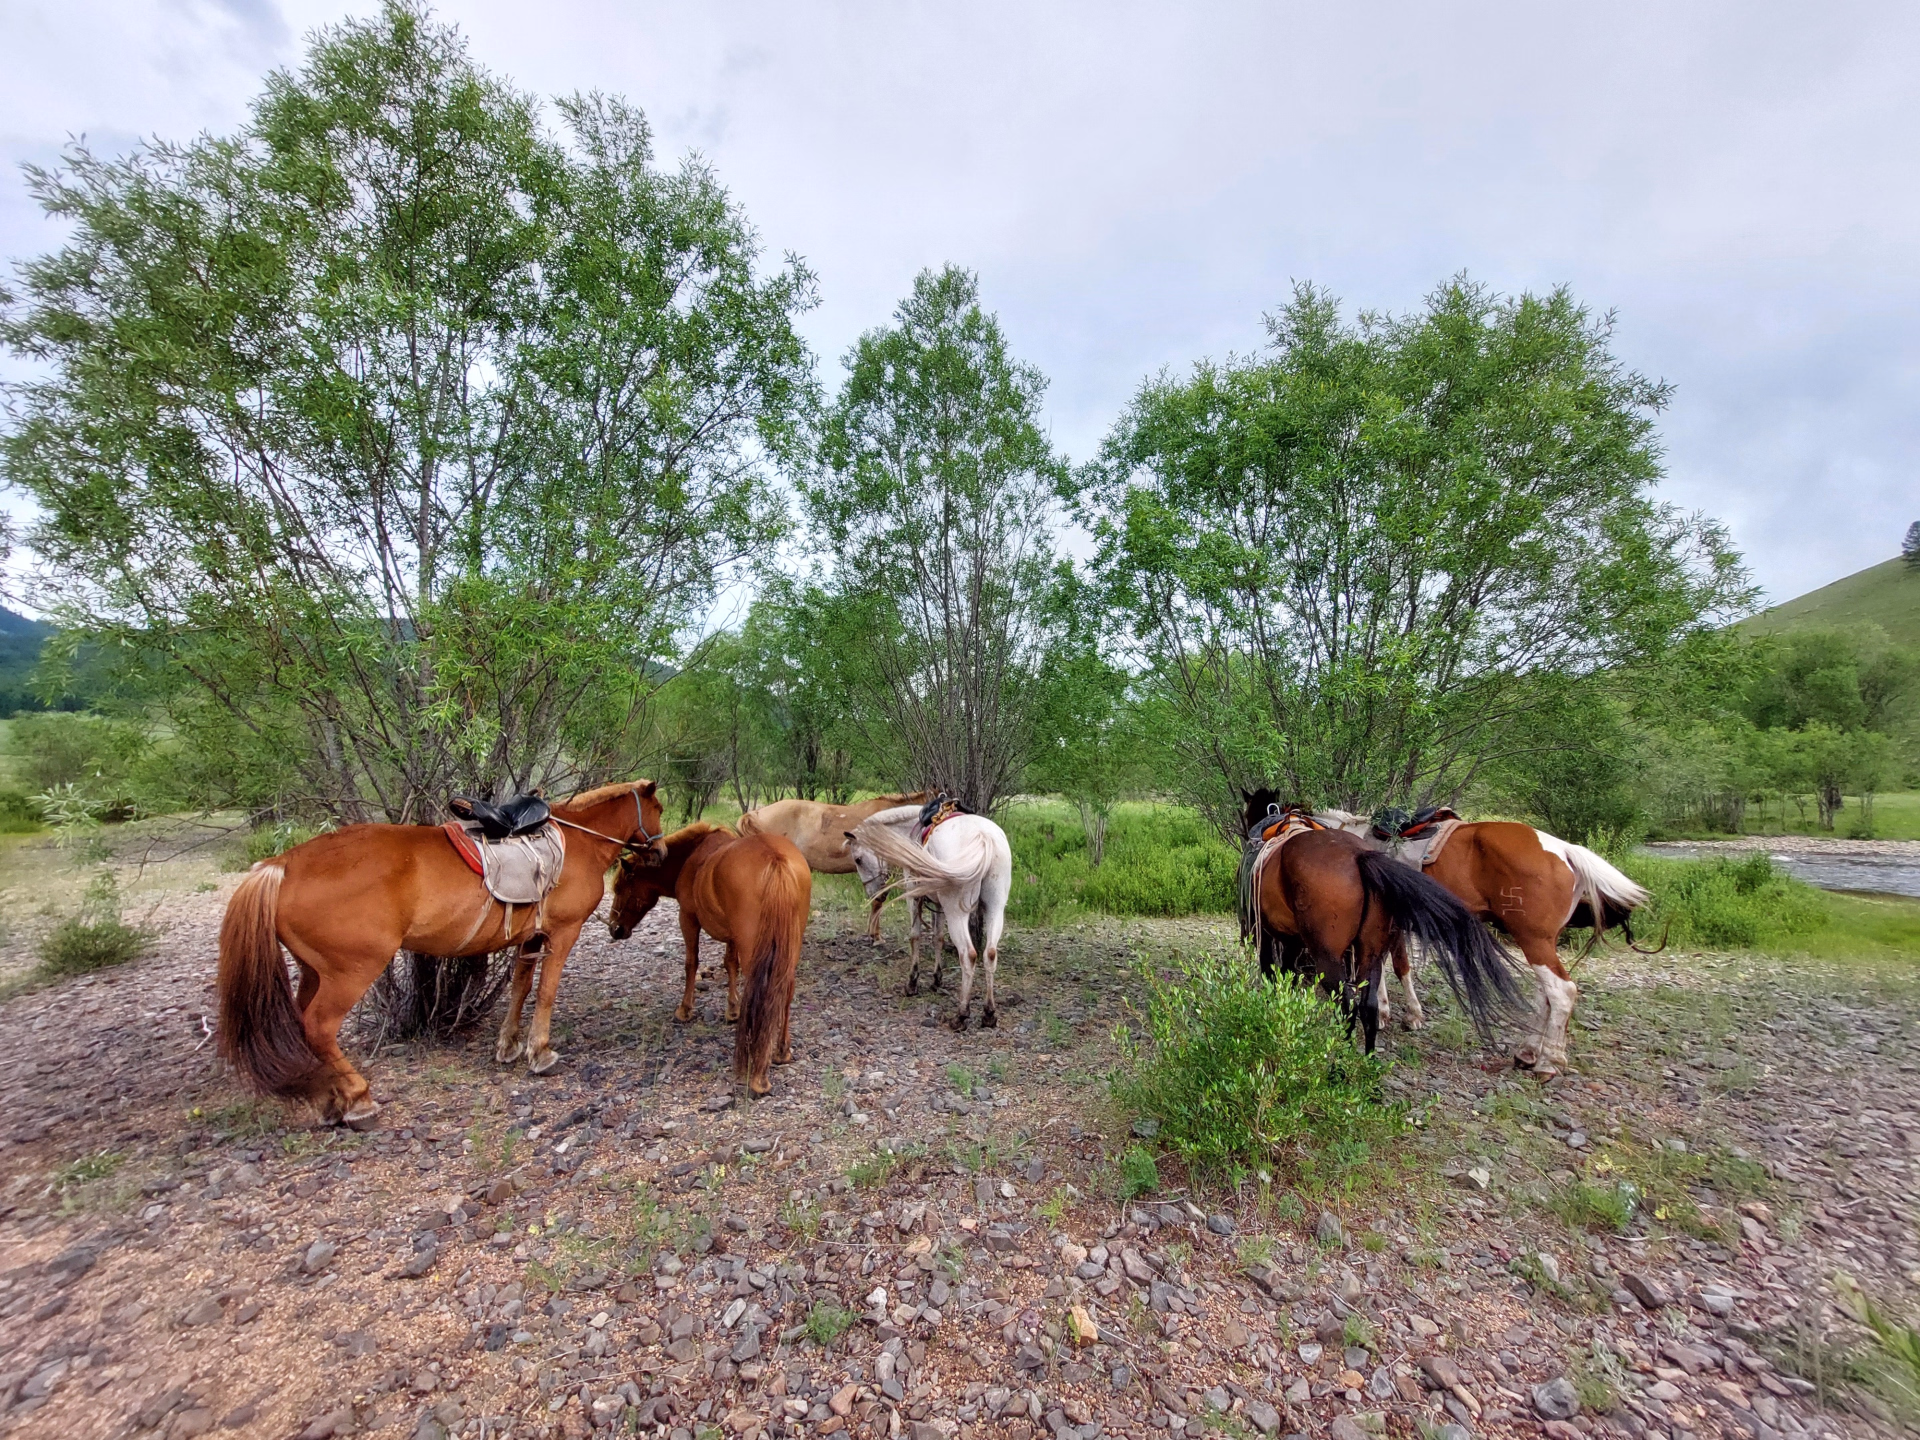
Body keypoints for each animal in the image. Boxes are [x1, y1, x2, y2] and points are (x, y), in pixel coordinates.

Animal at [217, 780, 666, 1127]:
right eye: (658, 810)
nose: (660, 851)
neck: (581, 840)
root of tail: (282, 865)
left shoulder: (530, 937)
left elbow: (519, 990)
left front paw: (508, 1046)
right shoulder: (562, 933)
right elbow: (546, 994)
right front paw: (539, 1052)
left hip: (314, 971)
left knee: (301, 1025)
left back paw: (331, 1099)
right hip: (351, 972)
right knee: (319, 1027)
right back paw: (358, 1098)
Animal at [607, 823, 811, 1097]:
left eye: (620, 888)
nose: (615, 929)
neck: (692, 859)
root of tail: (775, 859)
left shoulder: (688, 918)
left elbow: (691, 962)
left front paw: (685, 1009)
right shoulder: (732, 935)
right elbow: (730, 964)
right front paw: (732, 1009)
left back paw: (756, 1071)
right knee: (784, 991)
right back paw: (781, 1051)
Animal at [847, 805, 1012, 1031]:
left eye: (858, 859)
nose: (875, 895)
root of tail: (984, 838)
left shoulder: (914, 896)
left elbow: (915, 936)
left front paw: (912, 983)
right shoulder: (938, 904)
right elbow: (938, 938)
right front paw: (936, 980)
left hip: (956, 912)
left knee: (968, 955)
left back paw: (961, 1015)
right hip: (995, 908)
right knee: (990, 953)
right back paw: (989, 1013)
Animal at [1237, 789, 1522, 1055]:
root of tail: (1358, 856)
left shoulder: (1265, 933)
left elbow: (1271, 974)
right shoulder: (1294, 941)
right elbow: (1288, 977)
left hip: (1328, 958)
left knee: (1347, 1008)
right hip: (1369, 951)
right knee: (1367, 1008)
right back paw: (1366, 1064)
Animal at [1314, 808, 1651, 1077]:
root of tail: (1566, 850)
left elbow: (1395, 966)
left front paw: (1404, 1014)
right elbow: (1392, 966)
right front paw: (1394, 1012)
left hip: (1534, 940)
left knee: (1561, 991)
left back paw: (1549, 1063)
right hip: (1543, 943)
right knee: (1546, 994)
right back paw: (1528, 1052)